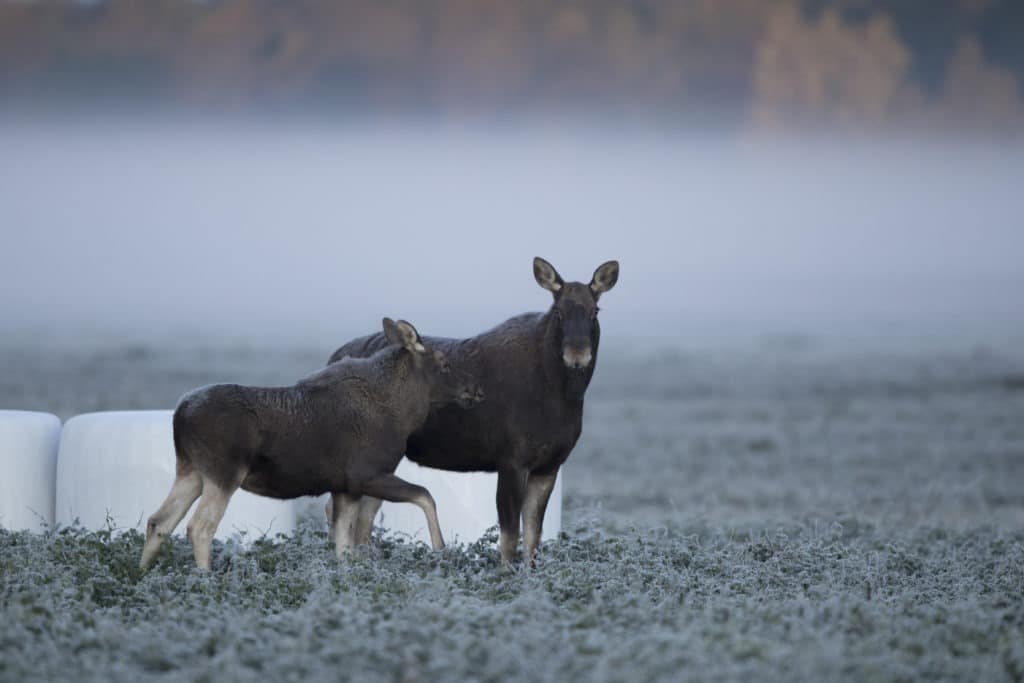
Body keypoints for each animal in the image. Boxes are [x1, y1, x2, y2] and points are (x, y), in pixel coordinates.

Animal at [139, 317, 483, 569]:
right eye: (444, 363)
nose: (477, 390)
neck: (404, 412)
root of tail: (180, 414)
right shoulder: (367, 475)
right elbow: (426, 496)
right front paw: (441, 550)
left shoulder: (345, 487)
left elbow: (343, 547)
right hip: (223, 474)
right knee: (199, 527)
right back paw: (205, 579)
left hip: (191, 471)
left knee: (159, 521)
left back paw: (141, 574)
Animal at [329, 258, 614, 565]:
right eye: (558, 310)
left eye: (595, 311)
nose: (577, 355)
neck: (563, 397)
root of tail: (332, 356)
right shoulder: (512, 460)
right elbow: (509, 538)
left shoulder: (549, 466)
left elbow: (533, 540)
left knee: (362, 515)